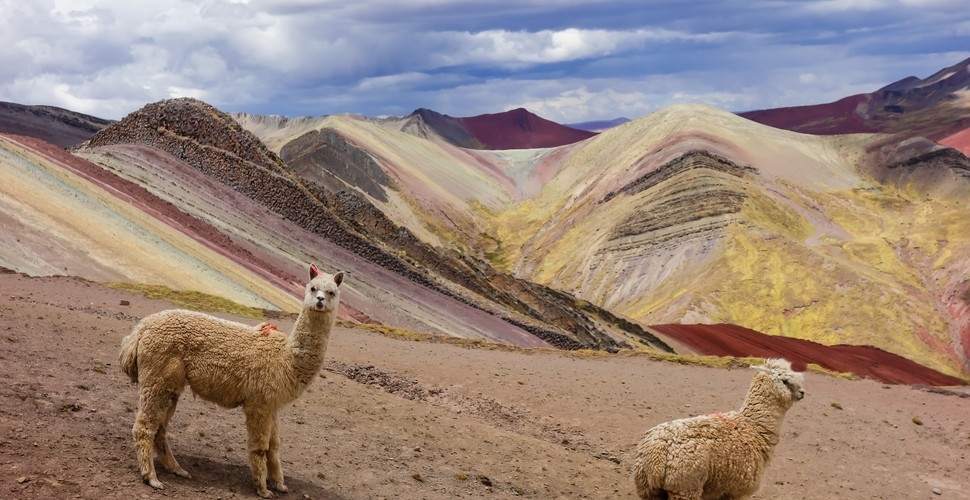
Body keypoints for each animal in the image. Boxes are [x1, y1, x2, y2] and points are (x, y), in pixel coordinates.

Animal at [119, 264, 344, 498]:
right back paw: (151, 477)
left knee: (160, 428)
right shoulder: (258, 404)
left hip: (170, 384)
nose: (319, 300)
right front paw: (263, 489)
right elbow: (260, 446)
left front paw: (279, 484)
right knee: (145, 426)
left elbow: (274, 446)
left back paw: (177, 469)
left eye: (332, 292)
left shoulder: (271, 405)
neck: (285, 357)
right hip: (157, 376)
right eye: (312, 288)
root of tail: (141, 328)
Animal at [632, 358, 805, 500]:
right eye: (785, 381)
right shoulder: (738, 491)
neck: (754, 427)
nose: (802, 392)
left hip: (649, 489)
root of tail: (656, 454)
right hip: (685, 485)